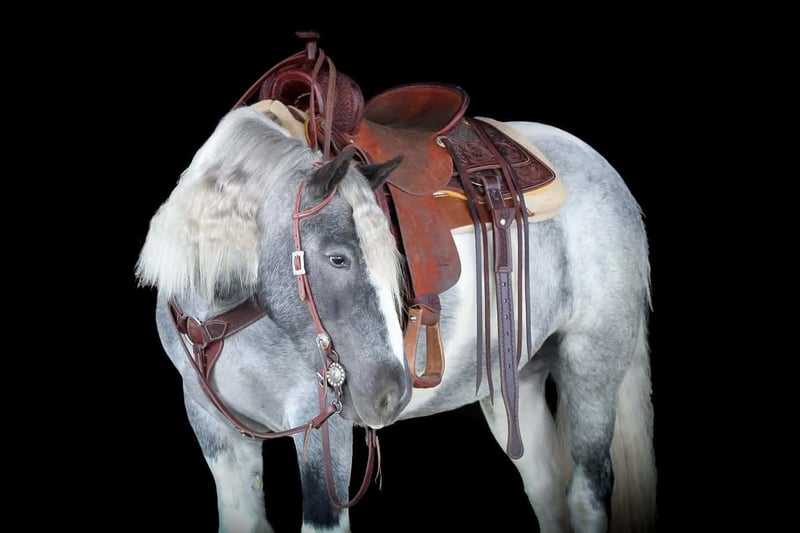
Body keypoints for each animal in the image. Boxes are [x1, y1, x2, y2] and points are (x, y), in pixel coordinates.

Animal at [135, 38, 656, 533]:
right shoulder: (215, 431)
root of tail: (601, 167)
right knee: (547, 491)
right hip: (518, 381)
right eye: (338, 258)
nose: (390, 393)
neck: (224, 314)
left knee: (586, 493)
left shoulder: (321, 429)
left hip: (592, 364)